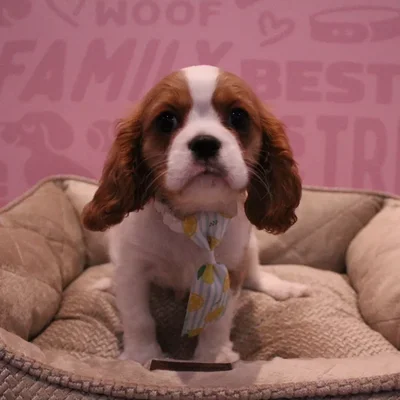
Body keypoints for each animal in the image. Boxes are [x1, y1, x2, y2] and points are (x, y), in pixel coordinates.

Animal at [82, 65, 309, 365]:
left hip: (250, 249)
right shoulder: (131, 269)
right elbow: (138, 317)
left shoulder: (229, 270)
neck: (194, 219)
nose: (204, 143)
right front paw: (142, 356)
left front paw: (212, 356)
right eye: (166, 120)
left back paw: (281, 287)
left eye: (238, 116)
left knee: (256, 274)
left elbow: (218, 321)